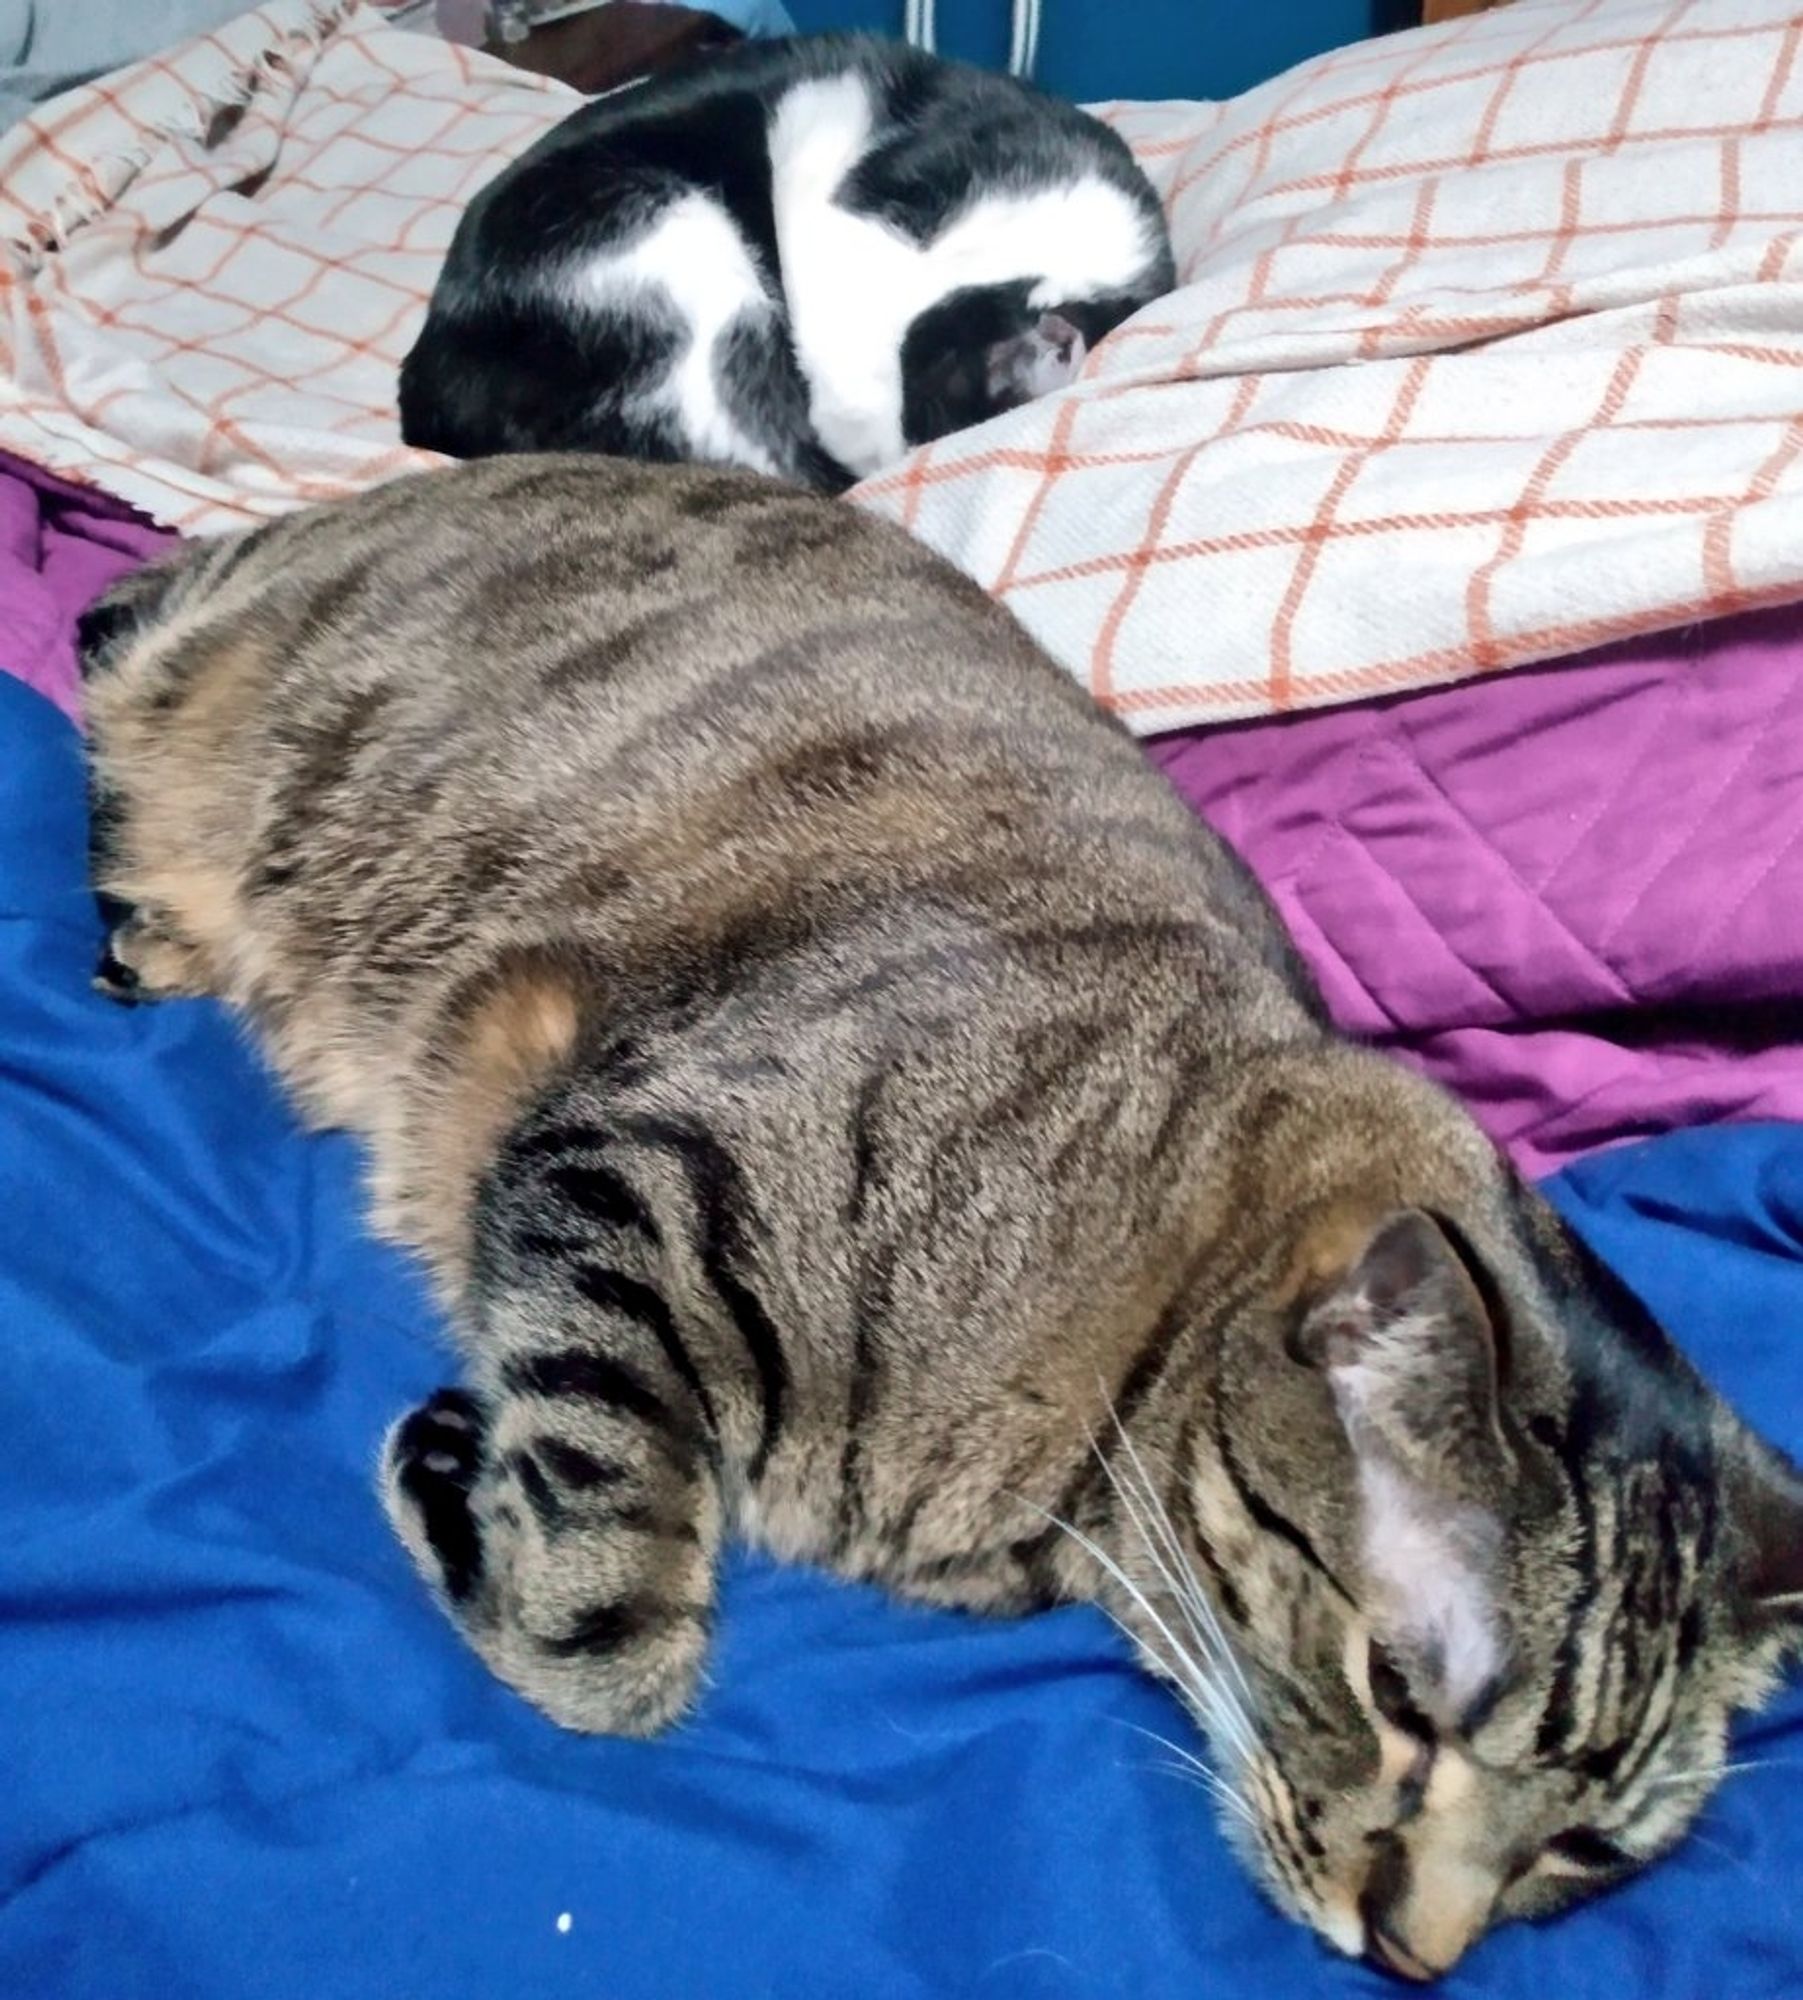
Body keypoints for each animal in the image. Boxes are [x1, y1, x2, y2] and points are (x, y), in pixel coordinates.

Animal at [84, 458, 1803, 1984]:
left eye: (1581, 1850)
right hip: (239, 639)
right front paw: (480, 1516)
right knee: (114, 630)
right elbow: (610, 1643)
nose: (1413, 1958)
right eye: (1395, 1694)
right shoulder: (631, 1159)